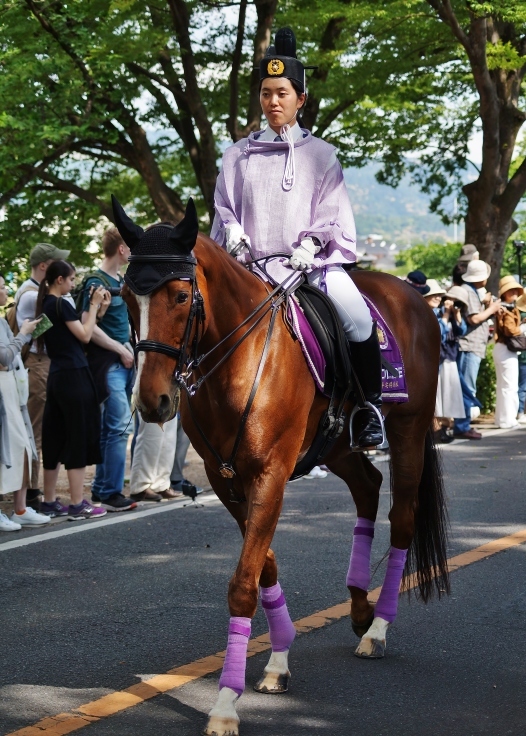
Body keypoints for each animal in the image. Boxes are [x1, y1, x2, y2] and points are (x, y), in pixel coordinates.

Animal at [118, 198, 450, 736]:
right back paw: (359, 607)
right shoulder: (227, 478)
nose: (153, 401)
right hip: (334, 445)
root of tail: (415, 297)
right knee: (368, 486)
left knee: (401, 516)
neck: (238, 362)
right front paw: (277, 660)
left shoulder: (270, 474)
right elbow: (263, 565)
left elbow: (242, 584)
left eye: (181, 295)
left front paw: (225, 704)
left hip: (409, 430)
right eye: (127, 296)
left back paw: (377, 629)